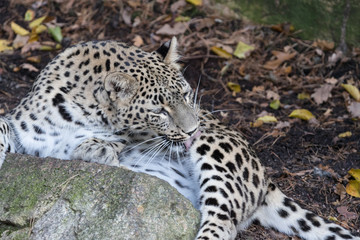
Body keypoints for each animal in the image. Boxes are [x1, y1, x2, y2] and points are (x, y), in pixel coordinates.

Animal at [0, 37, 197, 169]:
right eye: (159, 111)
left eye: (186, 94)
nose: (193, 131)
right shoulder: (20, 132)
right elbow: (3, 127)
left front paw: (98, 151)